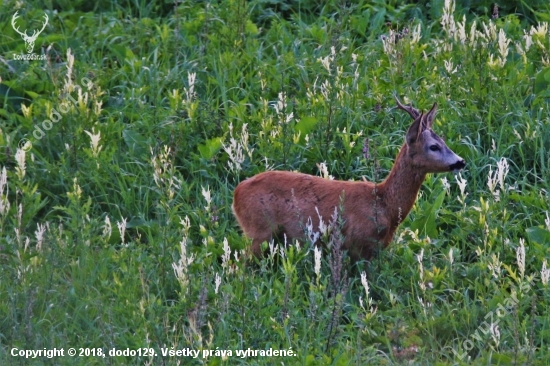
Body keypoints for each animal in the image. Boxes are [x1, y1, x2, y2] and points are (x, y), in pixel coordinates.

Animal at [232, 98, 466, 262]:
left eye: (444, 141)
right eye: (434, 146)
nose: (461, 161)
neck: (384, 204)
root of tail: (236, 193)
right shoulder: (359, 244)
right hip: (259, 231)